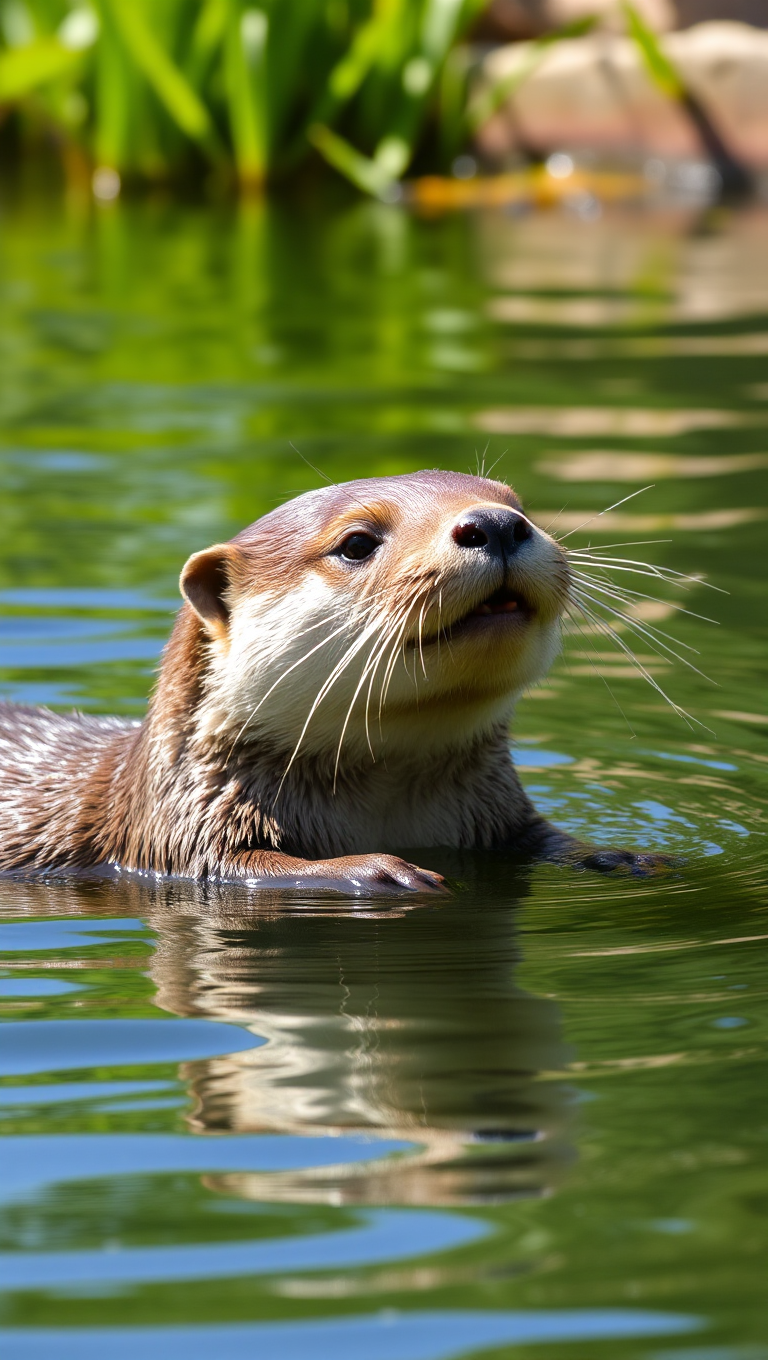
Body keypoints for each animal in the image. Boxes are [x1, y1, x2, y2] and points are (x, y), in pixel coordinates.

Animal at [0, 467, 666, 892]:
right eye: (356, 543)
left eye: (518, 506)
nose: (497, 524)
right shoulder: (173, 833)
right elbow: (232, 867)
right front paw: (376, 870)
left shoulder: (500, 814)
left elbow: (544, 838)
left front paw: (619, 855)